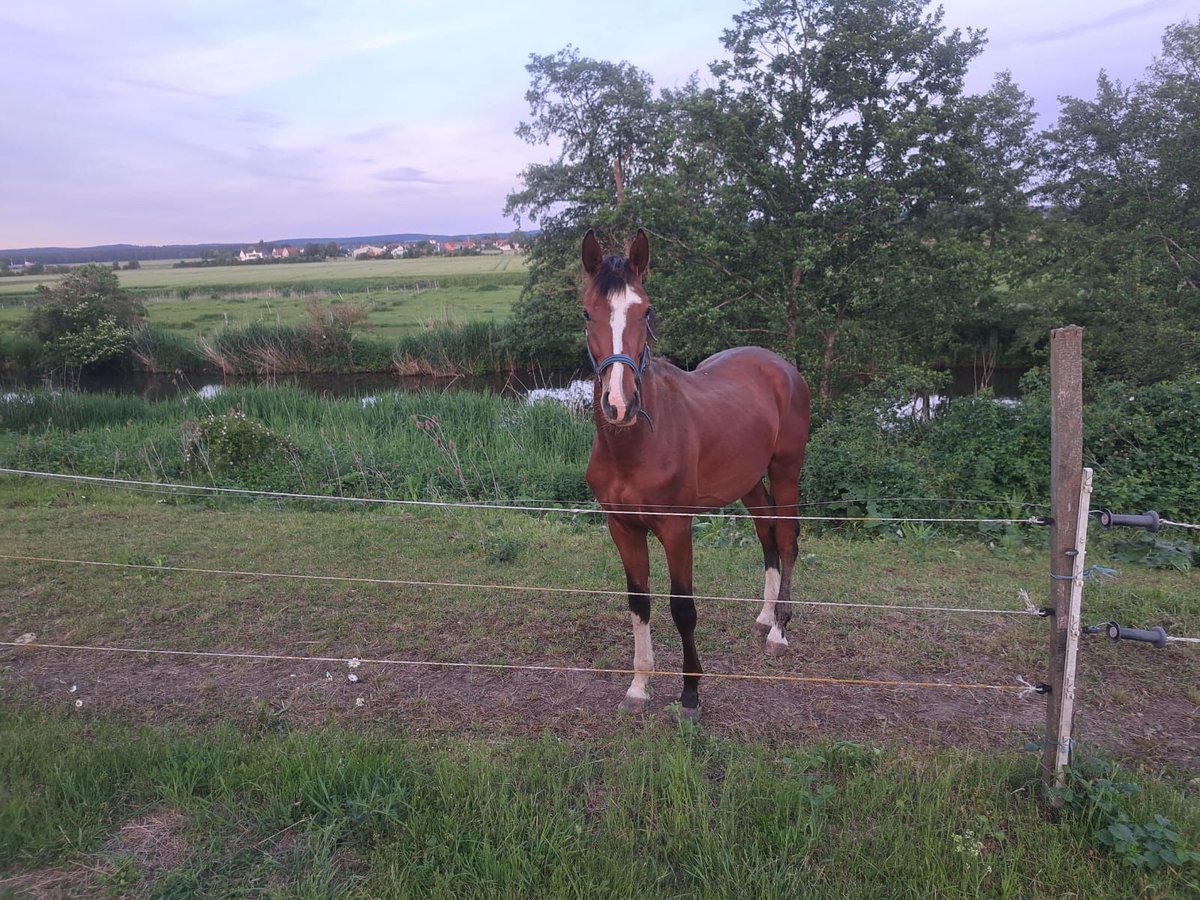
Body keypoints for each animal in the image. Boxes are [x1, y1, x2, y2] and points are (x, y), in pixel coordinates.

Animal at [582, 229, 812, 720]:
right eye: (587, 313)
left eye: (646, 310)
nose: (619, 404)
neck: (635, 445)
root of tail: (780, 365)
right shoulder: (622, 528)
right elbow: (639, 603)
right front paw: (638, 686)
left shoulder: (675, 527)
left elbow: (682, 607)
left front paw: (690, 694)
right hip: (749, 482)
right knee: (766, 532)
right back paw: (764, 616)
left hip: (786, 469)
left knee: (786, 538)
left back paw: (779, 631)